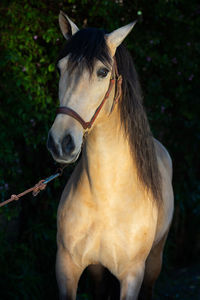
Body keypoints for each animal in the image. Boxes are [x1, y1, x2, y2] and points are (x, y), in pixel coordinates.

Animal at [47, 11, 173, 300]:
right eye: (60, 69)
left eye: (102, 72)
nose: (61, 143)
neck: (106, 197)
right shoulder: (67, 267)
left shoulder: (132, 276)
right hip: (96, 269)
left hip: (155, 260)